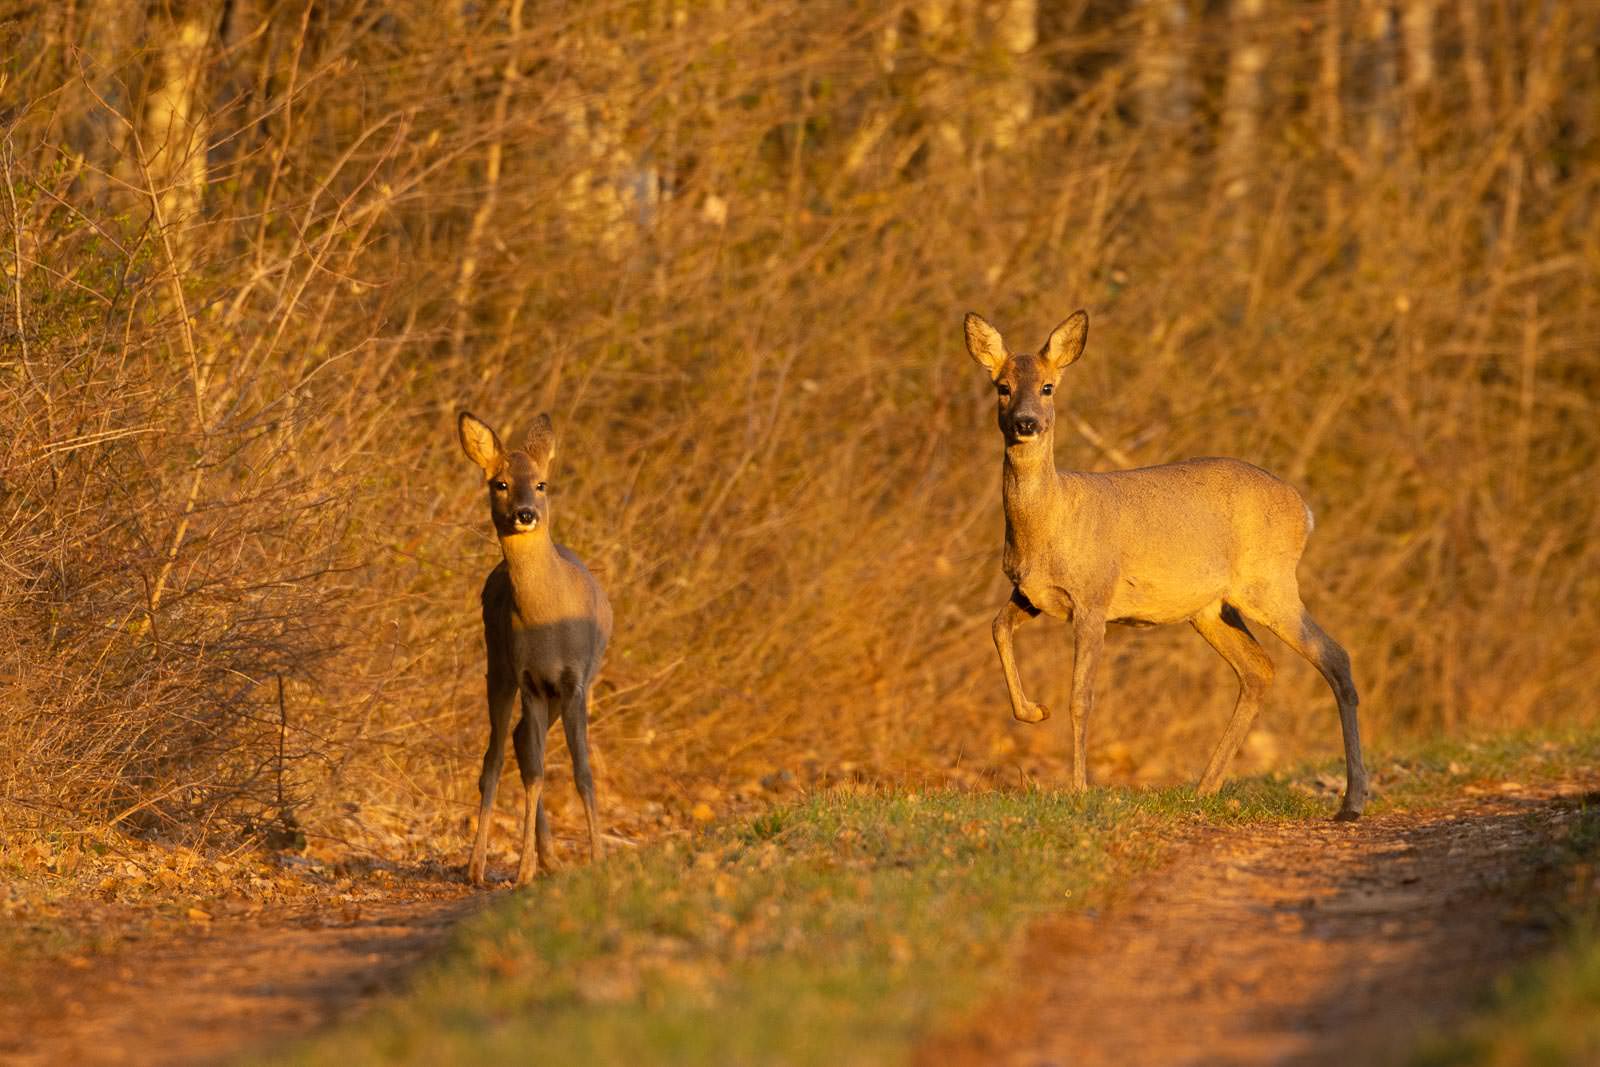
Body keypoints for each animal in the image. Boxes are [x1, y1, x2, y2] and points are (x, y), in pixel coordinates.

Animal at [457, 411, 613, 885]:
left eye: (542, 483)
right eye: (500, 483)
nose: (525, 514)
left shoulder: (575, 681)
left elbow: (581, 772)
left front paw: (597, 857)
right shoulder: (529, 679)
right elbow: (536, 771)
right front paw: (524, 869)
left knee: (519, 741)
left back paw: (549, 859)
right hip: (498, 667)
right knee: (496, 756)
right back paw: (477, 867)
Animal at [964, 309, 1368, 819]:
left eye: (1048, 386)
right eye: (1002, 386)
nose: (1026, 422)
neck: (1048, 521)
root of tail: (1305, 511)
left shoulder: (1094, 598)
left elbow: (1081, 697)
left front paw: (1077, 789)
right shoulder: (1030, 594)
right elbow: (997, 627)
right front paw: (1034, 711)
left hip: (1269, 583)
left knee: (1334, 655)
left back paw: (1352, 801)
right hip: (1211, 608)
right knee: (1259, 669)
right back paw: (1205, 788)